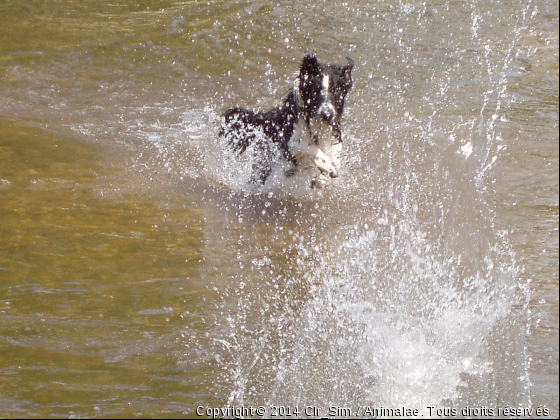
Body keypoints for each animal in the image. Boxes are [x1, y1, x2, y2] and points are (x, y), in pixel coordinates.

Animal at [220, 53, 354, 188]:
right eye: (315, 90)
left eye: (336, 91)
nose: (327, 114)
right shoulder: (287, 140)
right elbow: (308, 146)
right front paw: (327, 165)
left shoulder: (334, 131)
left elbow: (337, 152)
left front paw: (325, 174)